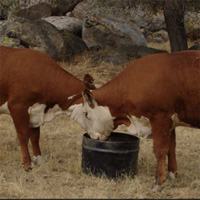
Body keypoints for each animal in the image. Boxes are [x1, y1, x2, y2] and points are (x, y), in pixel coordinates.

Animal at [69, 50, 200, 188]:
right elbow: (171, 148)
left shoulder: (161, 118)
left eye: (86, 114)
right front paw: (172, 174)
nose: (93, 137)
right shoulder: (170, 123)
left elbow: (160, 150)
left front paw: (158, 181)